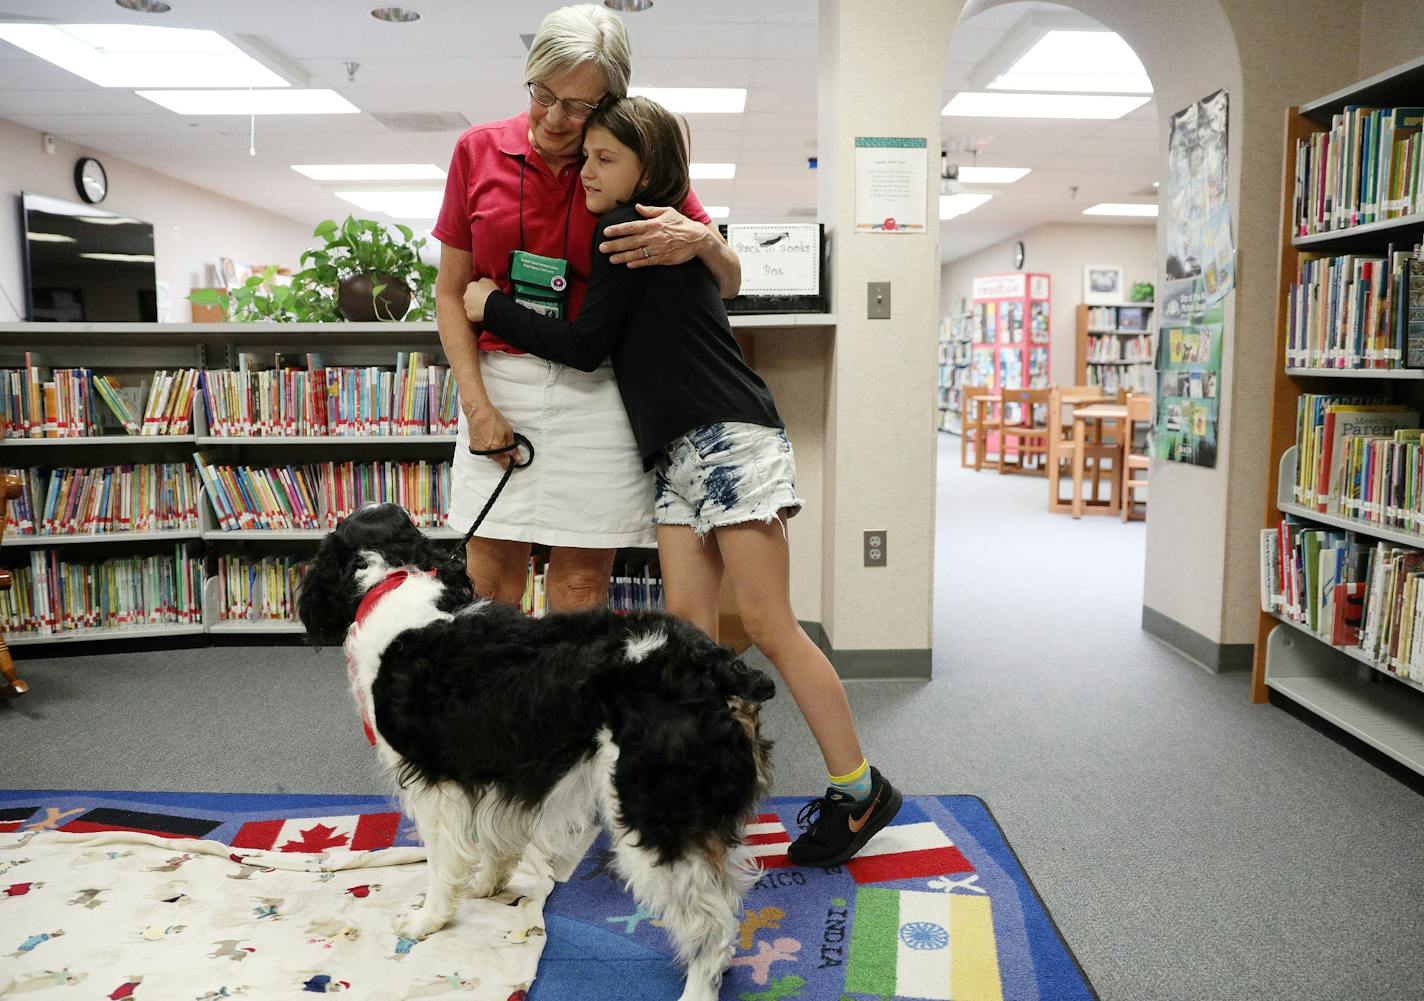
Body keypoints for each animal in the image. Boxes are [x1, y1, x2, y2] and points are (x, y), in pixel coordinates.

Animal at [293, 504, 774, 1001]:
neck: (391, 581)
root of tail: (717, 667)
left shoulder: (434, 783)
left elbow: (444, 861)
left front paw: (427, 921)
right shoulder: (500, 771)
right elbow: (496, 842)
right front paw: (486, 886)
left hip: (654, 813)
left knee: (711, 926)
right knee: (725, 897)